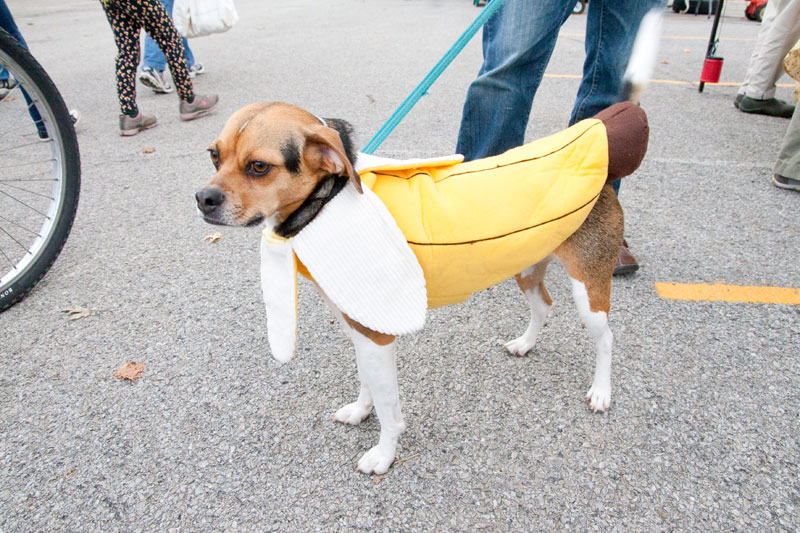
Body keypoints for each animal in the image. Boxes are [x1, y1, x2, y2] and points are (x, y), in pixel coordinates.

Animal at [197, 9, 660, 474]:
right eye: (214, 155)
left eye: (260, 166)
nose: (203, 199)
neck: (328, 200)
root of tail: (605, 164)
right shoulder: (361, 329)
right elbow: (366, 385)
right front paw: (360, 411)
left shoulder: (378, 337)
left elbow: (389, 409)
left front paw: (383, 454)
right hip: (527, 266)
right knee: (543, 306)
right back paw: (526, 344)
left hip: (589, 288)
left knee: (606, 338)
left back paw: (601, 391)